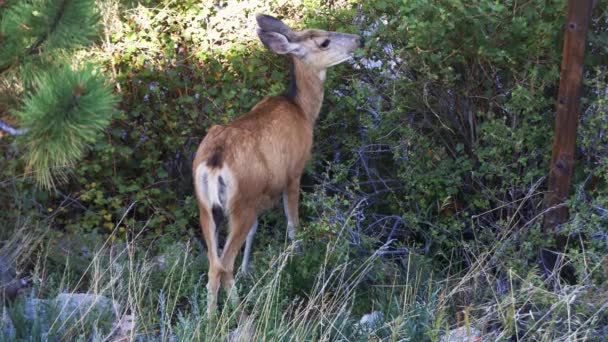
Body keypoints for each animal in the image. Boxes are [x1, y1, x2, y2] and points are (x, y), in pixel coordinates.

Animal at [192, 13, 360, 314]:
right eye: (324, 41)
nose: (358, 39)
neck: (303, 109)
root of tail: (214, 162)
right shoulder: (294, 172)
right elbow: (293, 224)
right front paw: (298, 257)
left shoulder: (260, 194)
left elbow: (255, 231)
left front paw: (248, 270)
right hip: (240, 203)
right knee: (224, 264)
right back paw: (238, 313)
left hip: (207, 207)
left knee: (213, 265)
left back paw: (210, 318)